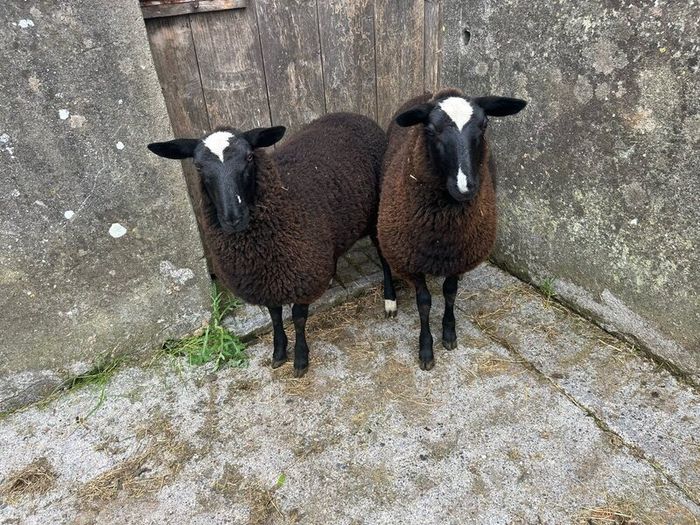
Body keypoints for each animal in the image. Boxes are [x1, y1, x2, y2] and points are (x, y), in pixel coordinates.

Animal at [148, 113, 396, 377]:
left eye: (249, 157)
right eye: (198, 166)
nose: (233, 217)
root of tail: (353, 115)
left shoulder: (297, 275)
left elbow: (298, 318)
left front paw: (300, 359)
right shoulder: (266, 278)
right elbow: (275, 316)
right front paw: (278, 352)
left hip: (378, 210)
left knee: (384, 256)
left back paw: (390, 301)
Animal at [377, 88, 527, 370]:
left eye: (484, 124)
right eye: (431, 129)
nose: (464, 187)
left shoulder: (460, 255)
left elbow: (450, 293)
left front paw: (449, 333)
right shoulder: (412, 259)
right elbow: (424, 303)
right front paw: (426, 349)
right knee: (383, 258)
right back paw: (389, 301)